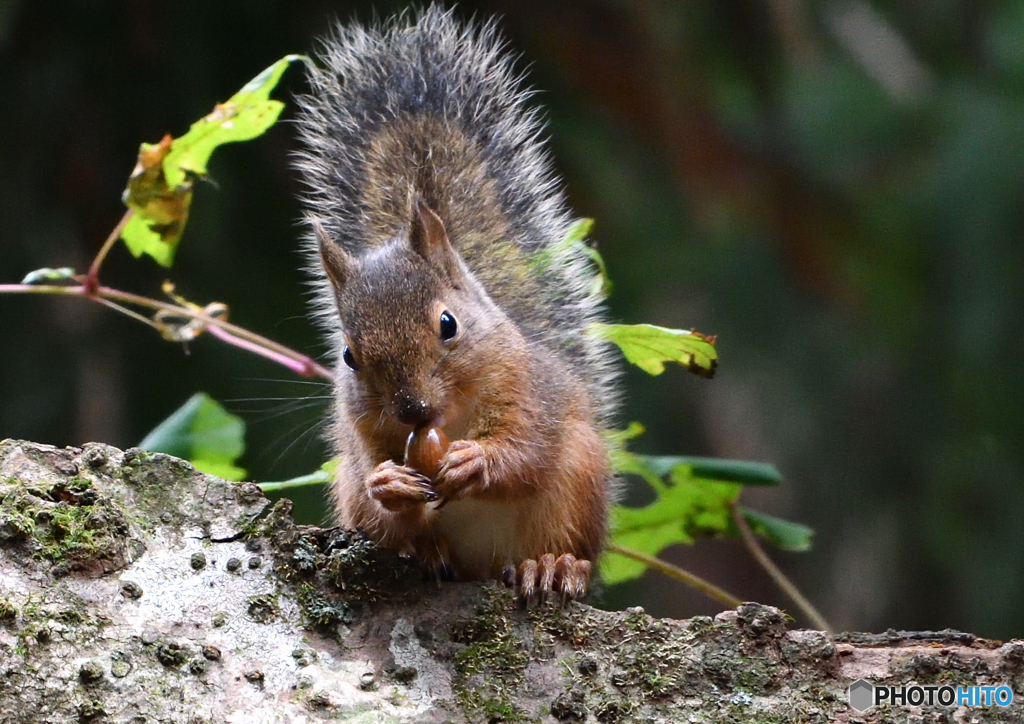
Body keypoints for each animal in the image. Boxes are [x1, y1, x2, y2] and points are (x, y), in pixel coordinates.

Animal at [292, 7, 618, 602]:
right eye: (348, 355)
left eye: (449, 324)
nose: (413, 410)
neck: (452, 414)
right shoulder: (359, 431)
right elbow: (374, 480)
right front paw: (390, 482)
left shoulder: (532, 393)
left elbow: (527, 449)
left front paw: (477, 462)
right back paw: (426, 553)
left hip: (579, 477)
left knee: (563, 538)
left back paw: (554, 565)